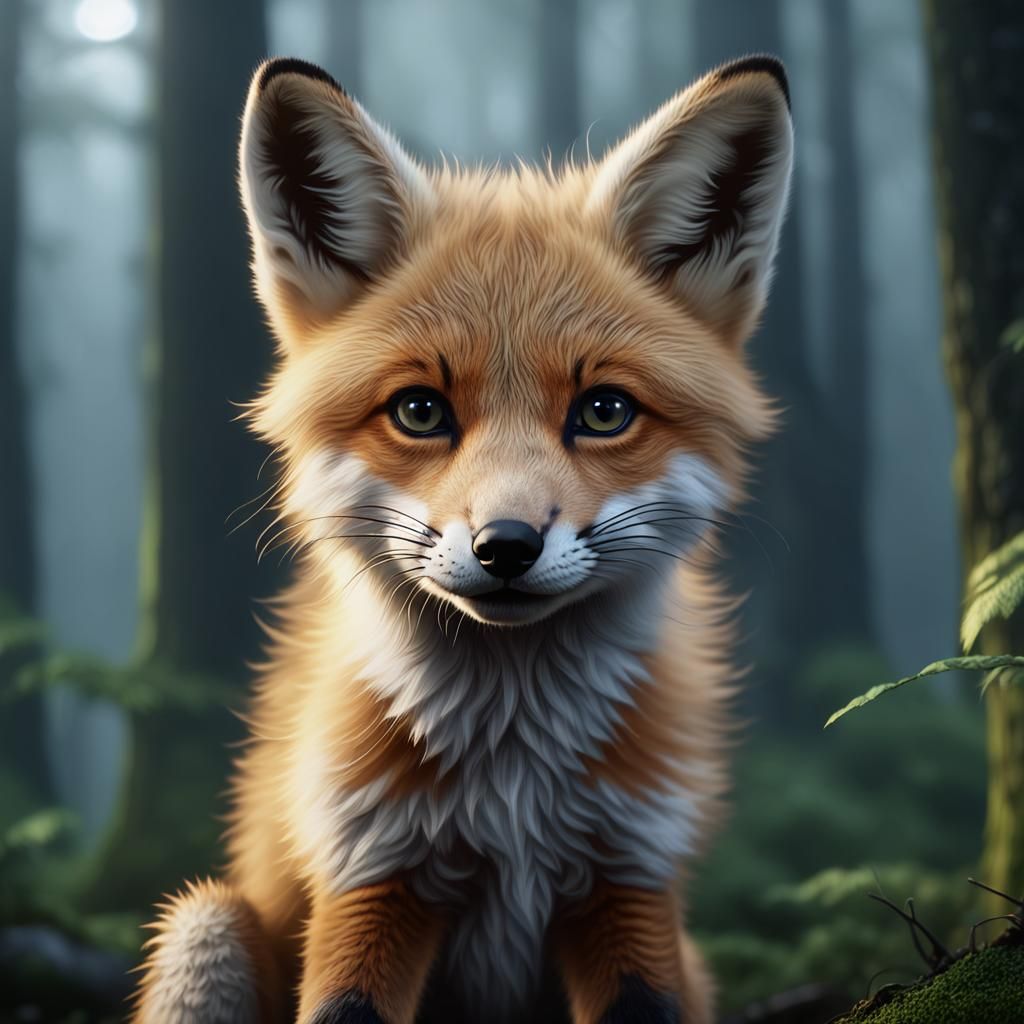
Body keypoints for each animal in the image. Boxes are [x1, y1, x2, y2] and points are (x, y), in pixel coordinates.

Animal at [131, 52, 792, 1024]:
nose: (506, 546)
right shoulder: (369, 876)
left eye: (604, 411)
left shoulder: (630, 879)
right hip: (204, 921)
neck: (510, 785)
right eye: (419, 411)